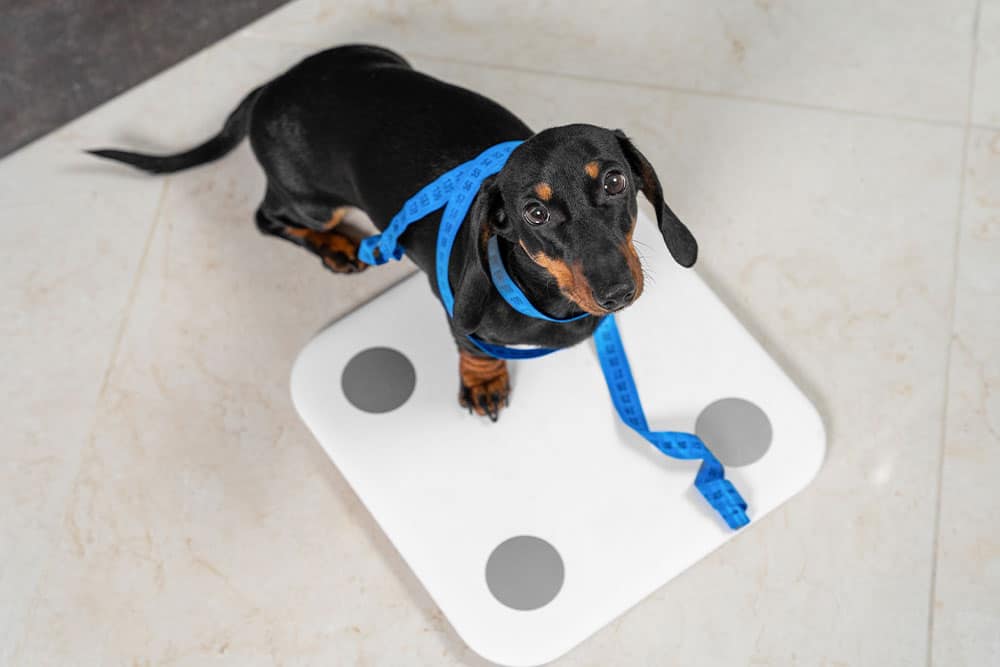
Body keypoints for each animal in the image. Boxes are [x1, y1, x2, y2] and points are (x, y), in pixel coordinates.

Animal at [94, 44, 700, 422]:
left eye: (617, 180)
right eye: (534, 213)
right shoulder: (457, 313)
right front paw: (483, 383)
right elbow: (471, 347)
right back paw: (337, 248)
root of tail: (270, 88)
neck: (540, 291)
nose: (617, 293)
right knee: (267, 218)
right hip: (312, 203)